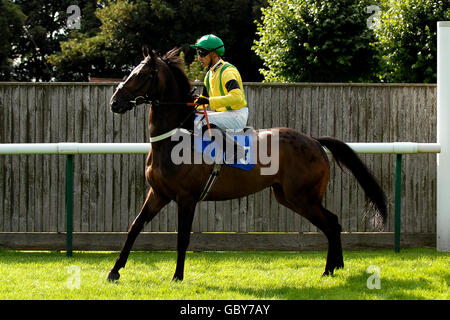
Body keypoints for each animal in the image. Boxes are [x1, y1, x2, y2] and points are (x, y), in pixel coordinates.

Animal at [105, 47, 386, 282]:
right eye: (131, 70)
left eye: (141, 74)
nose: (115, 102)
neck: (174, 138)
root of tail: (315, 142)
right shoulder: (158, 193)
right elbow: (134, 228)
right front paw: (114, 271)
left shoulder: (187, 197)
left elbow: (182, 237)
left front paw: (177, 277)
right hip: (289, 196)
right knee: (333, 223)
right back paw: (335, 267)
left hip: (303, 197)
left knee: (331, 224)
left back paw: (328, 270)